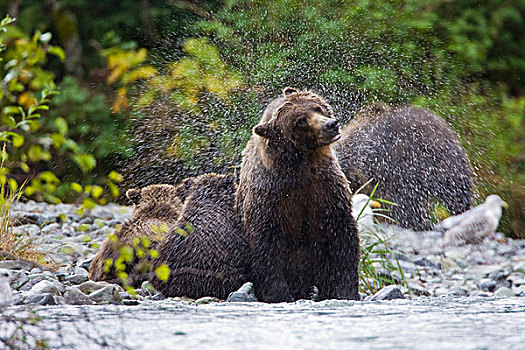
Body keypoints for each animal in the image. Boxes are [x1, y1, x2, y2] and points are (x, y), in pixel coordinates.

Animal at [236, 87, 360, 300]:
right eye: (300, 121)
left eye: (318, 107)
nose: (331, 124)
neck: (302, 163)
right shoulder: (270, 198)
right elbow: (266, 247)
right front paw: (278, 294)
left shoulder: (327, 191)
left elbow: (344, 239)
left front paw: (345, 291)